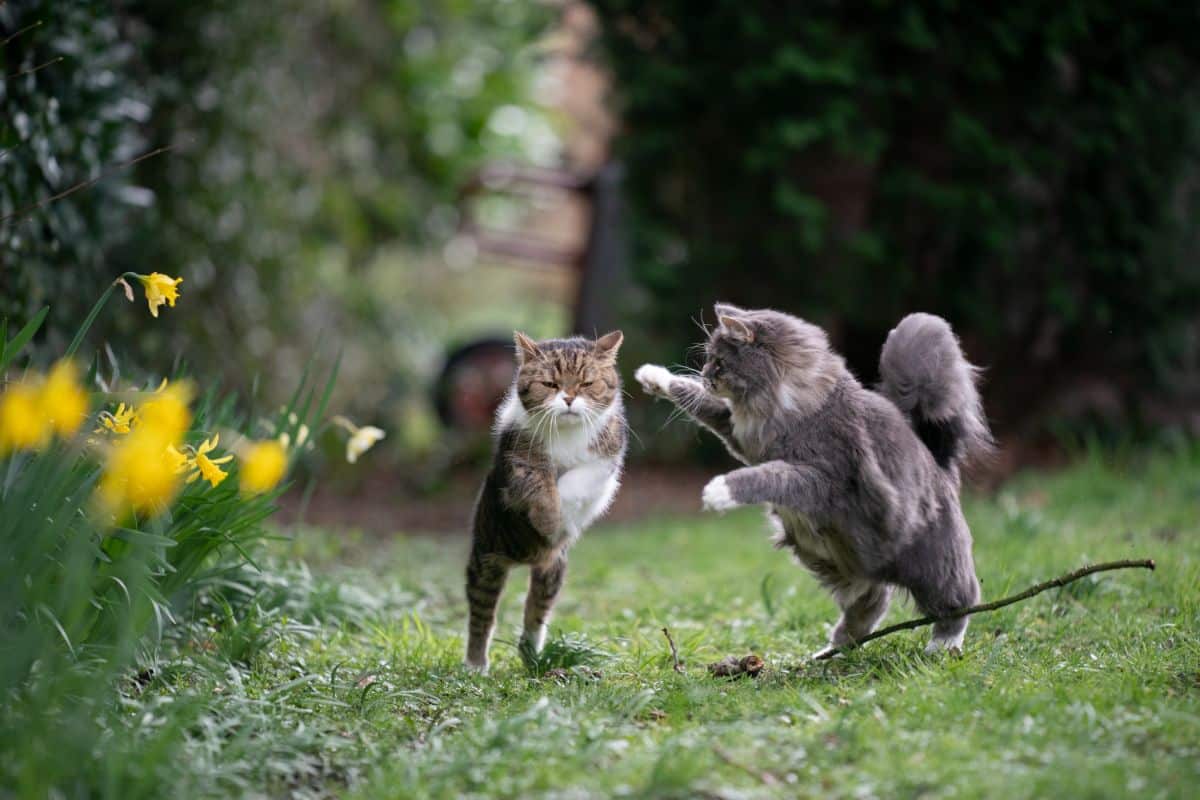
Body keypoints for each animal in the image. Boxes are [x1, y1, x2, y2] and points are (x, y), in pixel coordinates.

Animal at [463, 328, 628, 671]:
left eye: (586, 383)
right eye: (550, 384)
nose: (568, 398)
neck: (567, 433)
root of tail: (525, 558)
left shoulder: (607, 458)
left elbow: (577, 479)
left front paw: (562, 517)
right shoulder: (518, 459)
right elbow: (540, 483)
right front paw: (551, 518)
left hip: (552, 572)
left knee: (535, 612)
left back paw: (532, 654)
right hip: (486, 561)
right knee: (482, 616)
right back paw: (475, 664)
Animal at [638, 307, 993, 657]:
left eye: (719, 362)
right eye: (709, 360)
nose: (705, 375)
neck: (794, 404)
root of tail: (939, 462)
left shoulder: (819, 477)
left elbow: (768, 477)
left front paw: (718, 491)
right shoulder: (741, 436)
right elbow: (699, 401)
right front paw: (655, 376)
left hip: (936, 569)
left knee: (959, 604)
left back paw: (942, 645)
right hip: (832, 563)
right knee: (872, 604)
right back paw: (832, 651)